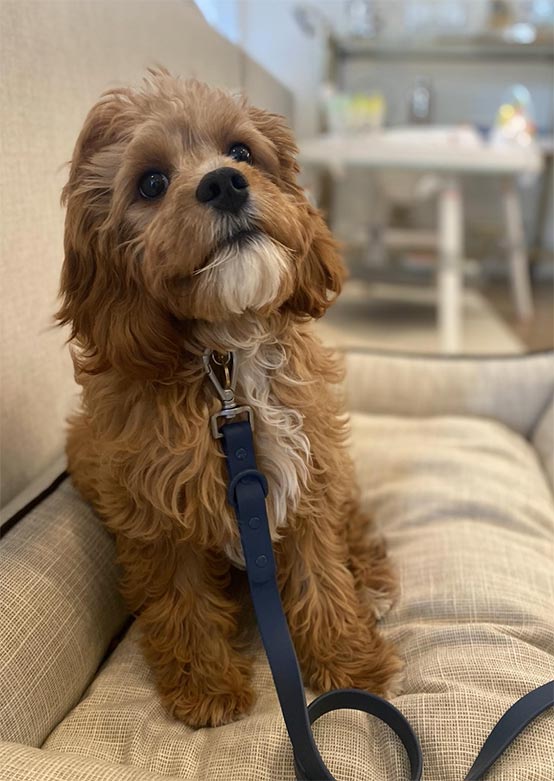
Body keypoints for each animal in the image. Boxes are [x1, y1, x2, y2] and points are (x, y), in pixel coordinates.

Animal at [57, 70, 402, 728]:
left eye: (241, 151)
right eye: (151, 183)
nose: (223, 182)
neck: (228, 361)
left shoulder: (308, 475)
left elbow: (323, 572)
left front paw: (348, 663)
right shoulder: (156, 511)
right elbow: (182, 598)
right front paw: (206, 687)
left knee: (354, 526)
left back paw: (371, 580)